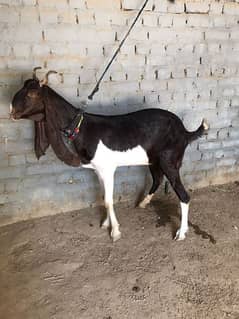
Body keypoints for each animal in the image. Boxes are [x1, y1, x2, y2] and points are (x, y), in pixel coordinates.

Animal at [10, 68, 208, 242]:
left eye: (33, 94)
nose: (11, 111)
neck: (80, 126)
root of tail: (185, 131)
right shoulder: (98, 169)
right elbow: (104, 196)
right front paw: (106, 222)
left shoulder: (108, 168)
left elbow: (107, 200)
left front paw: (115, 232)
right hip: (154, 160)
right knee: (157, 179)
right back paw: (143, 203)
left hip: (170, 160)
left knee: (183, 195)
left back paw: (181, 233)